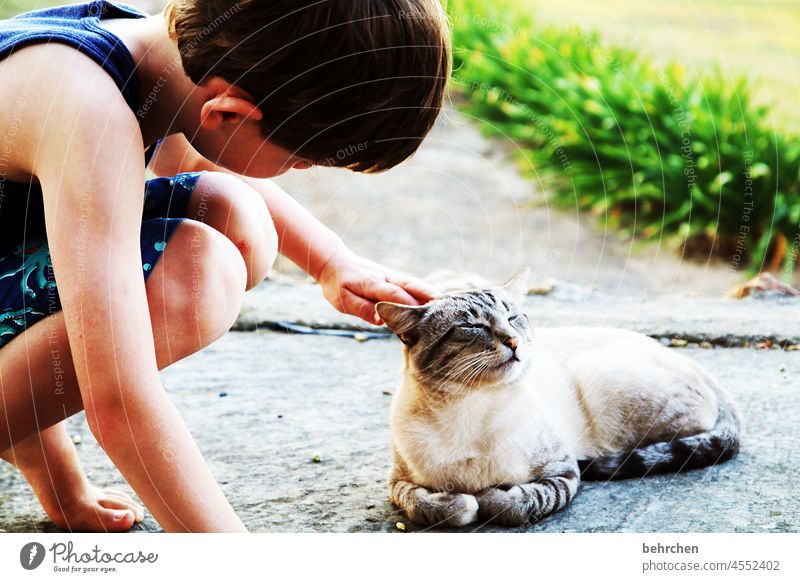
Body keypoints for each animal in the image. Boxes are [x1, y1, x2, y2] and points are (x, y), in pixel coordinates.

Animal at [376, 272, 744, 528]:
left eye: (513, 318)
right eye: (472, 326)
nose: (513, 341)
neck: (468, 409)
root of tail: (695, 364)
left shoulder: (564, 473)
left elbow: (515, 503)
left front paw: (490, 497)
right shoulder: (398, 483)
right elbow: (430, 505)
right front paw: (461, 503)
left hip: (598, 378)